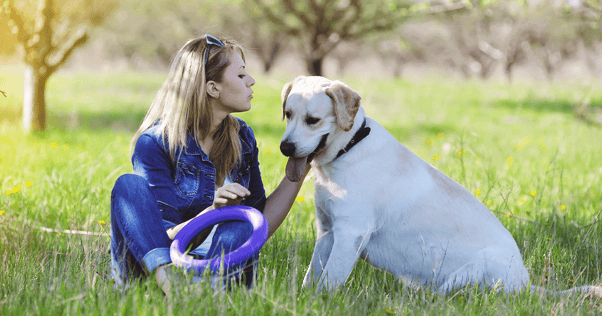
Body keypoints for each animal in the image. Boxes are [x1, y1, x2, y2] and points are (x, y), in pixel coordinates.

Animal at [278, 76, 600, 296]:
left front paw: (321, 302)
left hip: (474, 269)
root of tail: (526, 285)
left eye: (313, 120)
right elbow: (312, 275)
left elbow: (329, 280)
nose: (285, 147)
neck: (349, 148)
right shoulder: (327, 230)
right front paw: (305, 297)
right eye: (288, 115)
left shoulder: (350, 233)